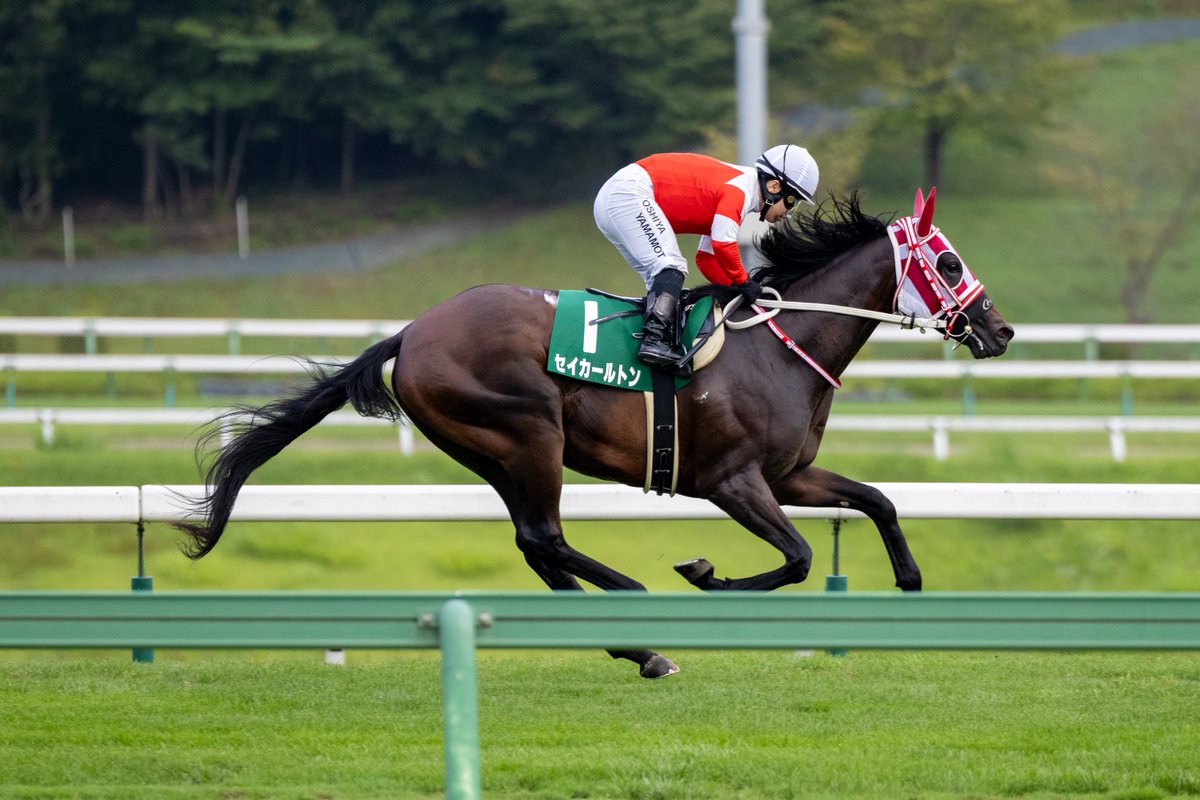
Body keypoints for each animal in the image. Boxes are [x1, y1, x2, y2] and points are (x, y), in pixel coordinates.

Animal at [176, 188, 1013, 678]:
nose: (1000, 329)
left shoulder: (787, 475)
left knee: (536, 544)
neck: (779, 343)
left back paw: (634, 645)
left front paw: (910, 585)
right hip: (526, 433)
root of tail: (411, 333)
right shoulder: (732, 482)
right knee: (545, 538)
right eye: (947, 260)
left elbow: (876, 501)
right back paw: (637, 614)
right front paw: (704, 574)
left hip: (495, 451)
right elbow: (800, 557)